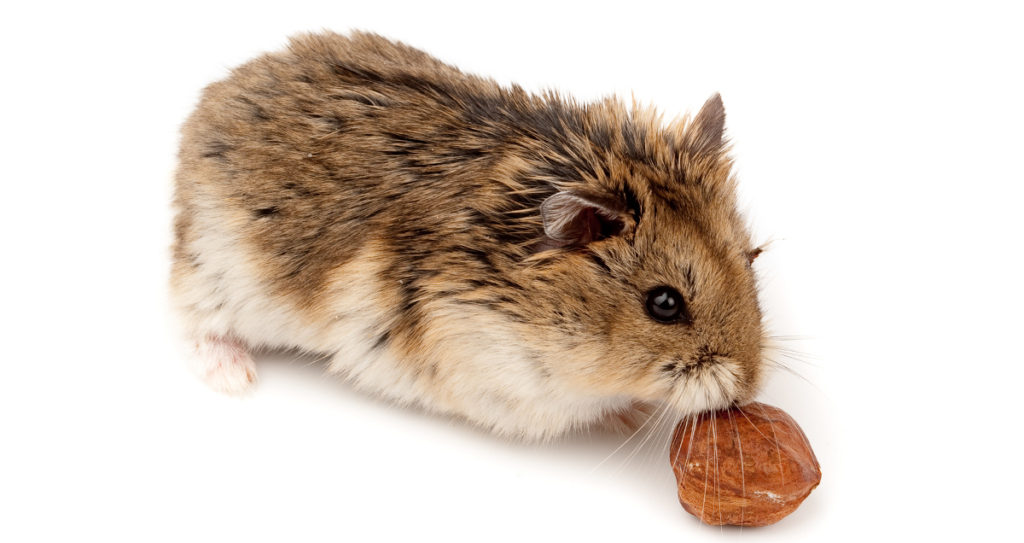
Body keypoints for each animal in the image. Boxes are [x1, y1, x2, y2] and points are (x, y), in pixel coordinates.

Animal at [171, 31, 766, 441]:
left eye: (750, 260)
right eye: (663, 304)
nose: (749, 389)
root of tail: (212, 103)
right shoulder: (497, 382)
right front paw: (637, 413)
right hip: (214, 265)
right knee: (193, 318)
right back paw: (236, 377)